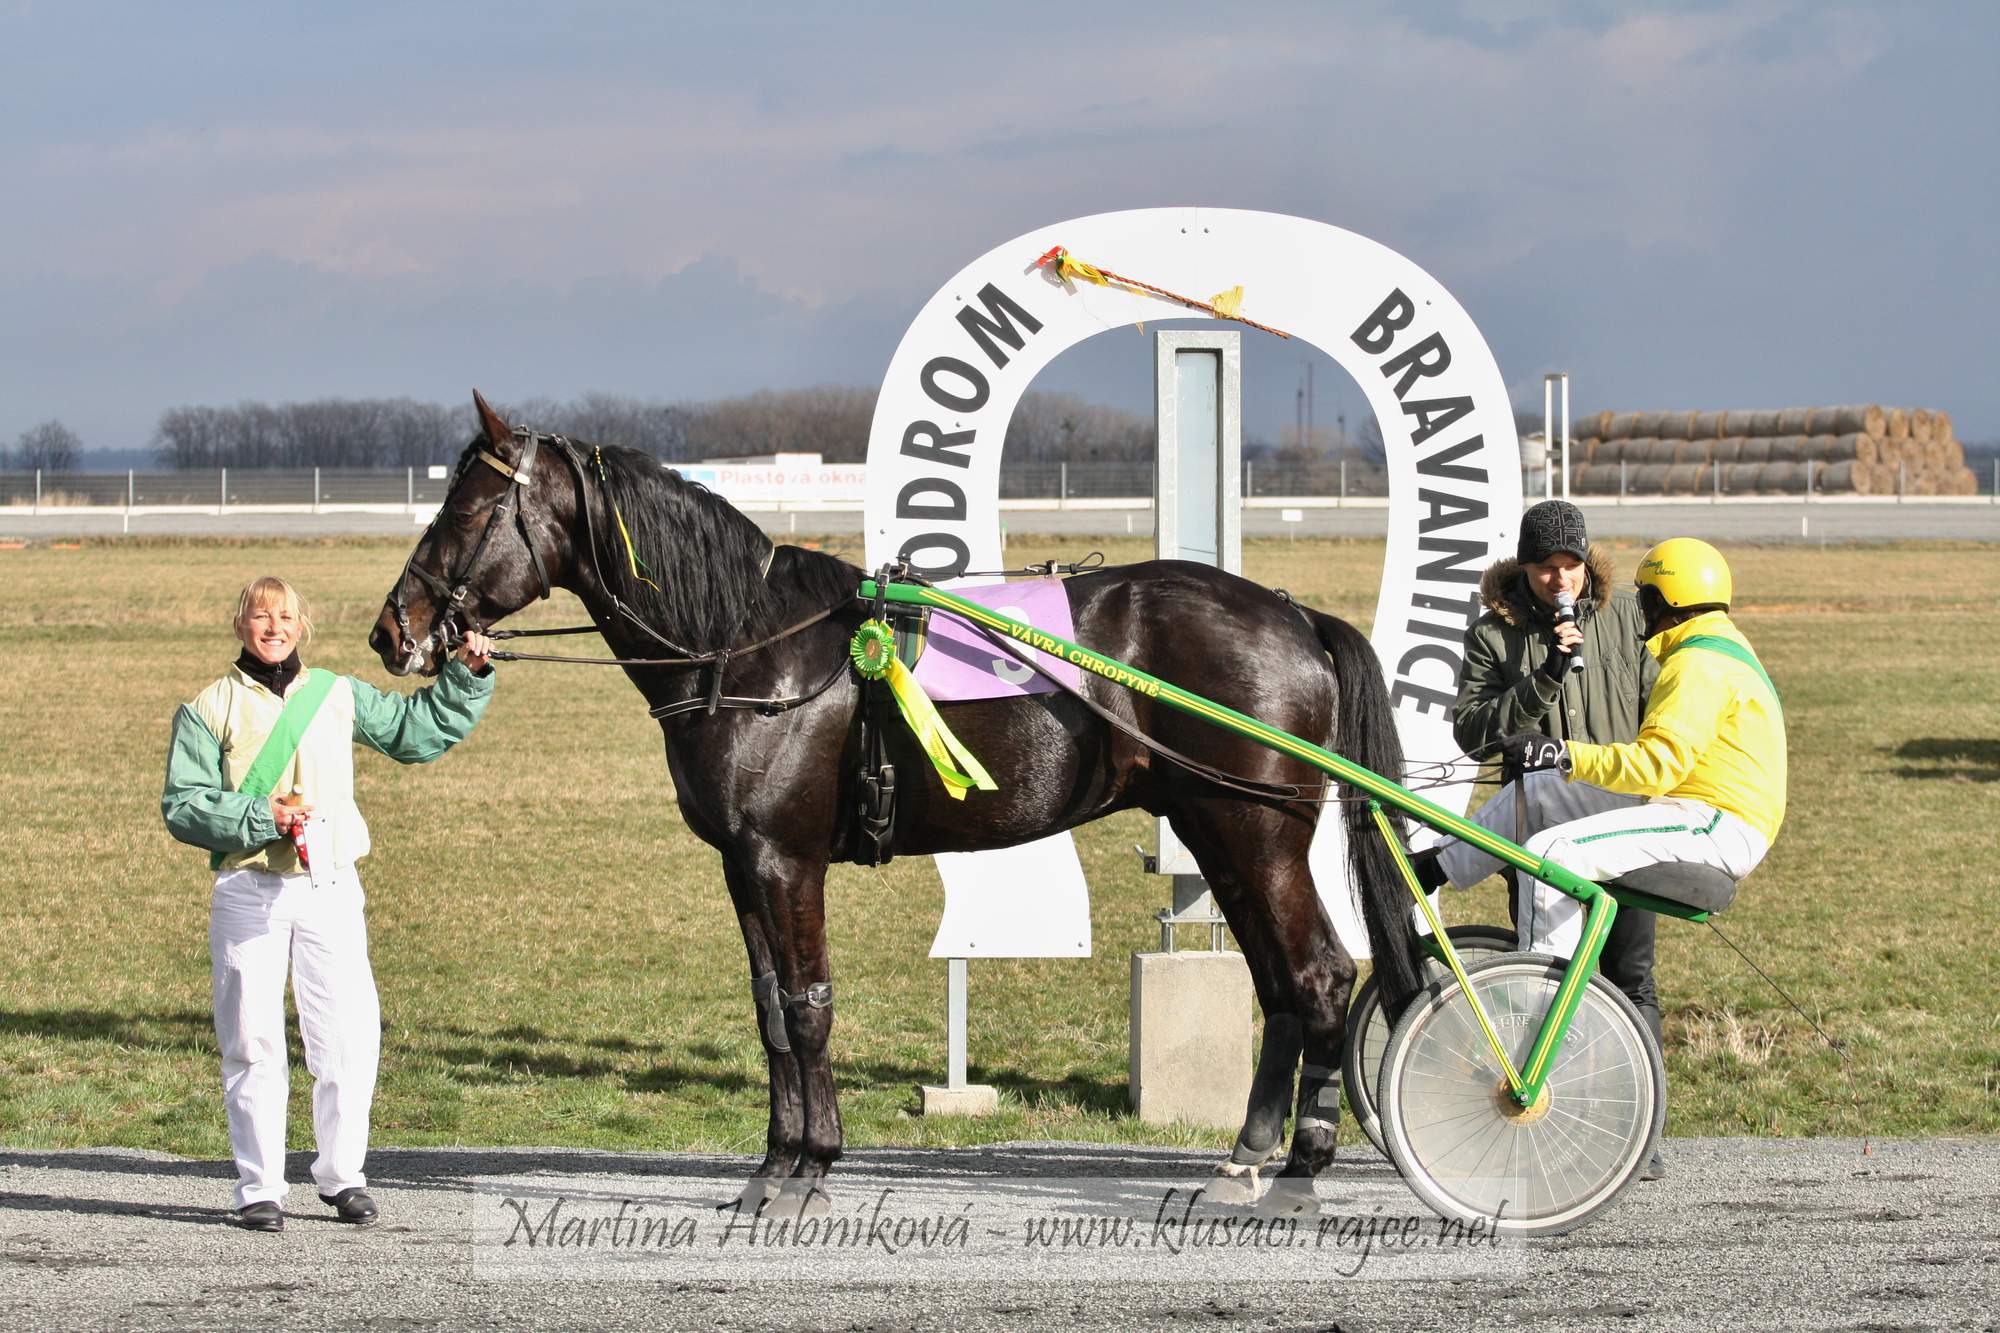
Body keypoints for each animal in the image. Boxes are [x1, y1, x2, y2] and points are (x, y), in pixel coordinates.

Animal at [376, 390, 1432, 1208]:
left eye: (466, 513)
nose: (395, 628)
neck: (753, 646)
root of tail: (1291, 613)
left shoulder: (785, 857)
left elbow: (807, 1005)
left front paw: (809, 1165)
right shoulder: (740, 864)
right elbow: (769, 1008)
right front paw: (773, 1161)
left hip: (1255, 831)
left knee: (1319, 977)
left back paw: (1300, 1166)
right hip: (1217, 827)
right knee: (1281, 986)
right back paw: (1246, 1158)